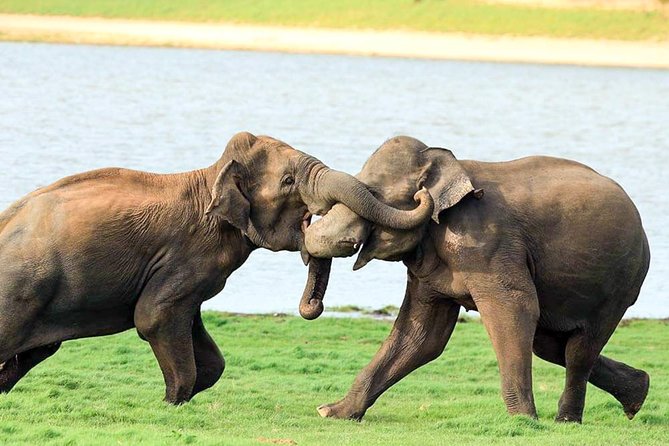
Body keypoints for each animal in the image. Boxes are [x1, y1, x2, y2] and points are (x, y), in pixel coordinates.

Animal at [0, 132, 434, 404]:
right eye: (288, 180)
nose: (422, 193)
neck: (210, 177)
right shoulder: (186, 254)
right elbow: (154, 317)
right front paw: (172, 402)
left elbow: (208, 356)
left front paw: (181, 396)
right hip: (21, 292)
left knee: (39, 349)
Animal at [302, 135, 648, 422]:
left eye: (371, 192)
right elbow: (422, 335)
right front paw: (331, 412)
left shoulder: (487, 243)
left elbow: (515, 308)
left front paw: (523, 420)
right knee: (550, 345)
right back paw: (638, 394)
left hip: (621, 283)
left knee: (578, 350)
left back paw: (567, 420)